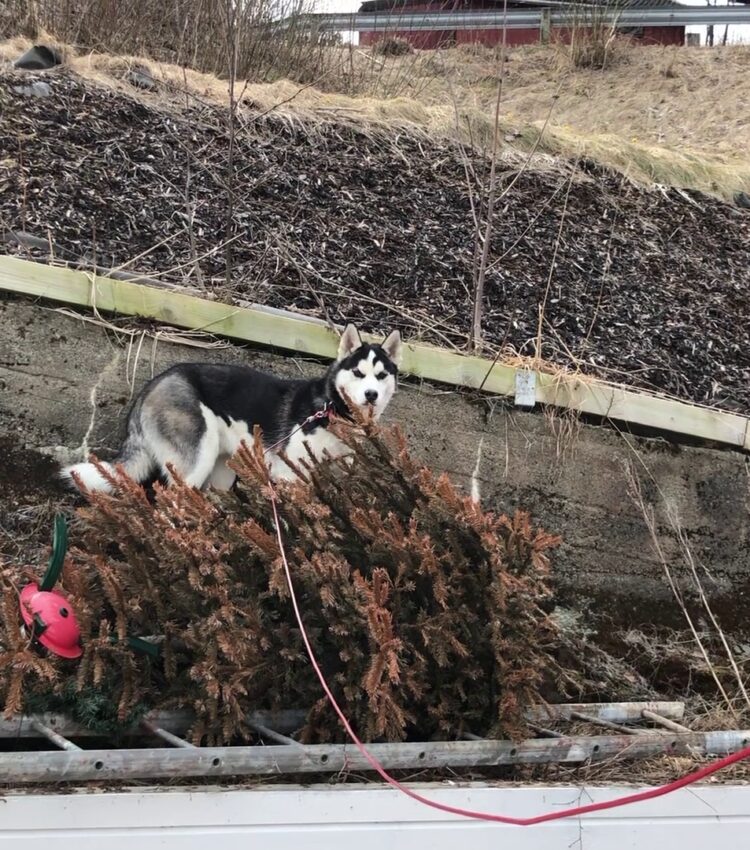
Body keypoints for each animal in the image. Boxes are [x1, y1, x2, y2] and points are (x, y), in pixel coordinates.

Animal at [61, 326, 406, 496]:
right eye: (359, 373)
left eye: (381, 375)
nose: (371, 394)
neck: (332, 410)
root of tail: (155, 382)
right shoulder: (287, 474)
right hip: (197, 459)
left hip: (221, 473)